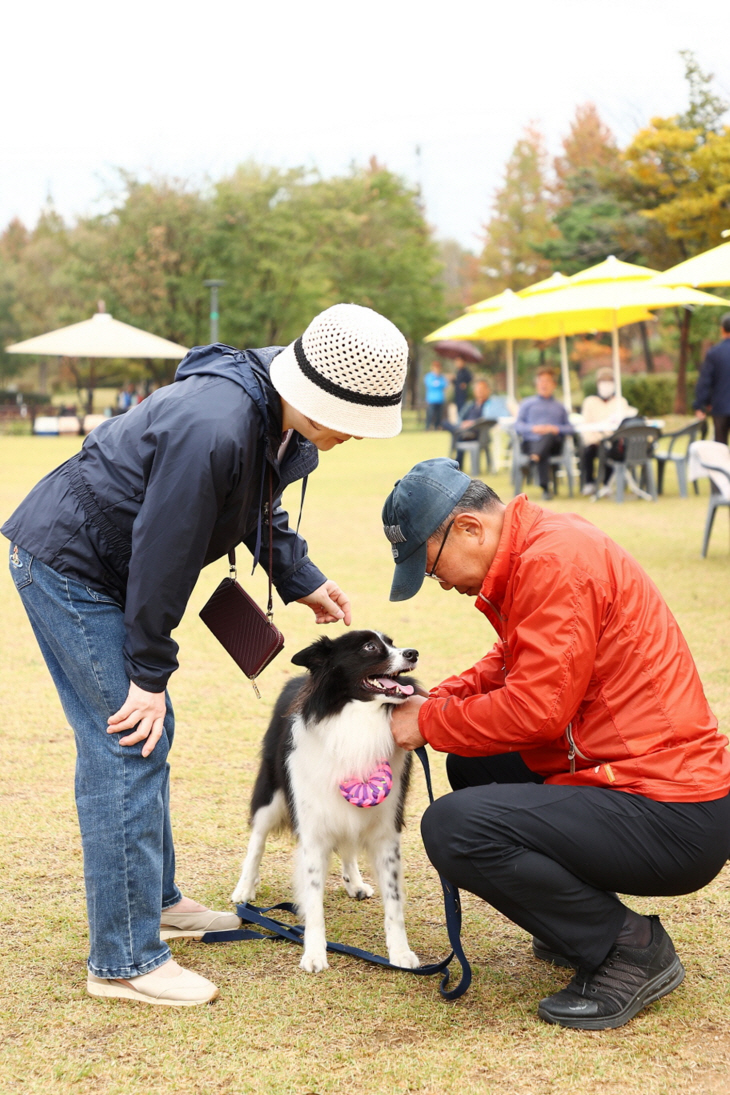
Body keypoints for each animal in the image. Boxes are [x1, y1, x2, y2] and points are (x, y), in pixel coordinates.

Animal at [228, 630, 422, 972]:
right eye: (369, 647)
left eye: (393, 642)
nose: (412, 653)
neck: (355, 719)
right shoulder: (313, 828)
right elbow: (313, 898)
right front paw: (315, 953)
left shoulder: (386, 830)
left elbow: (394, 900)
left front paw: (400, 953)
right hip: (271, 793)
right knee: (257, 839)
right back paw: (245, 887)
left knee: (347, 846)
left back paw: (354, 882)